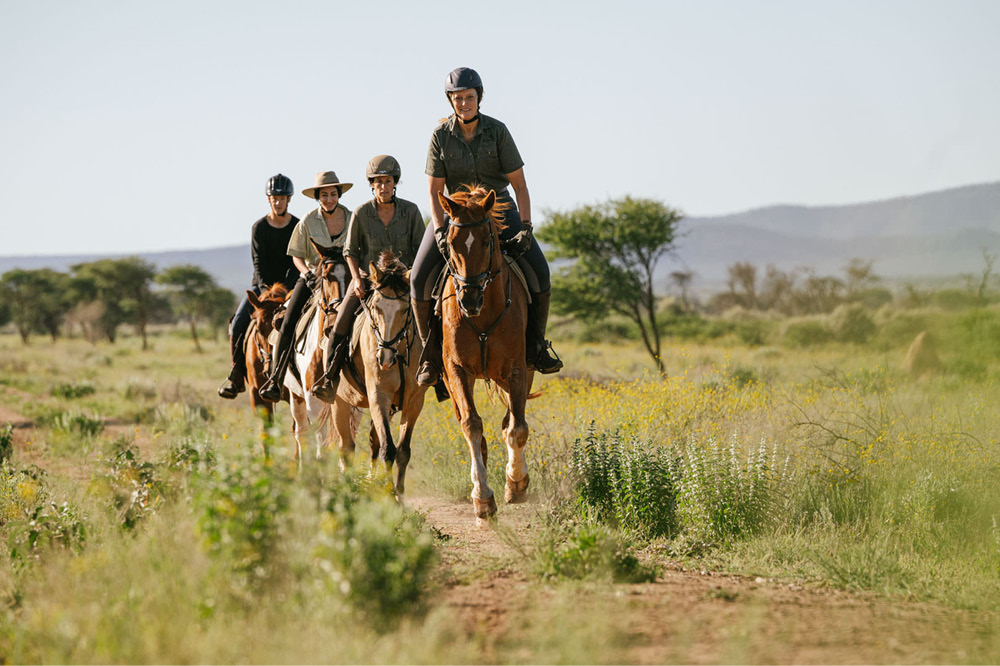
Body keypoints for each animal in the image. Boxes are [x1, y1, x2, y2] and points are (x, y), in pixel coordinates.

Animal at [332, 250, 426, 498]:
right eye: (375, 306)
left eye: (405, 309)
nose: (384, 358)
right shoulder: (378, 396)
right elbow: (388, 450)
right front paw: (389, 495)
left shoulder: (414, 402)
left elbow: (402, 451)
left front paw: (398, 494)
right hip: (338, 402)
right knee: (346, 447)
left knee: (372, 443)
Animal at [436, 187, 532, 524]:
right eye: (451, 242)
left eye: (487, 241)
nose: (469, 299)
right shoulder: (457, 371)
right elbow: (471, 426)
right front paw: (482, 497)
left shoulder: (517, 370)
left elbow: (517, 428)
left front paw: (516, 483)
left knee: (510, 421)